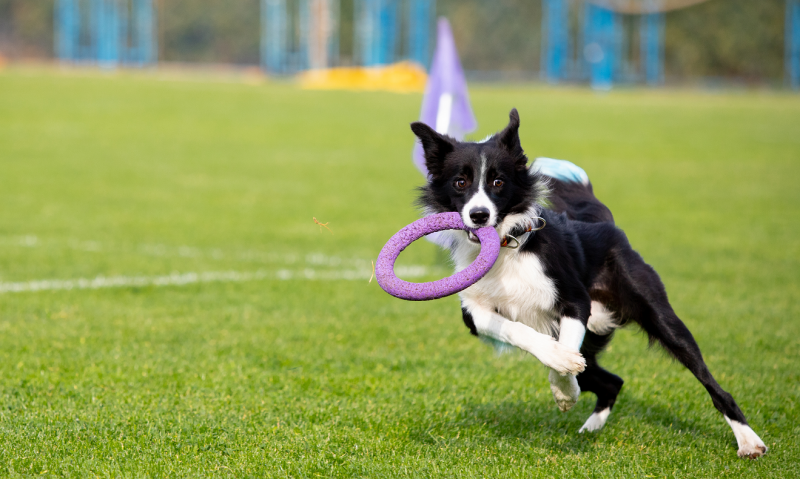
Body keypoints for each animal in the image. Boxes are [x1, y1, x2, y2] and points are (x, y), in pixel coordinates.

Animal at [412, 108, 768, 458]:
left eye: (498, 182)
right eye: (460, 182)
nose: (479, 215)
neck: (506, 248)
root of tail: (601, 223)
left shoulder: (574, 299)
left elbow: (565, 352)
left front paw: (564, 386)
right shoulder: (474, 314)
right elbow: (520, 332)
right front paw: (561, 371)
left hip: (657, 314)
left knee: (710, 383)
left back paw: (749, 442)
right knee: (612, 381)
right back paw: (590, 429)